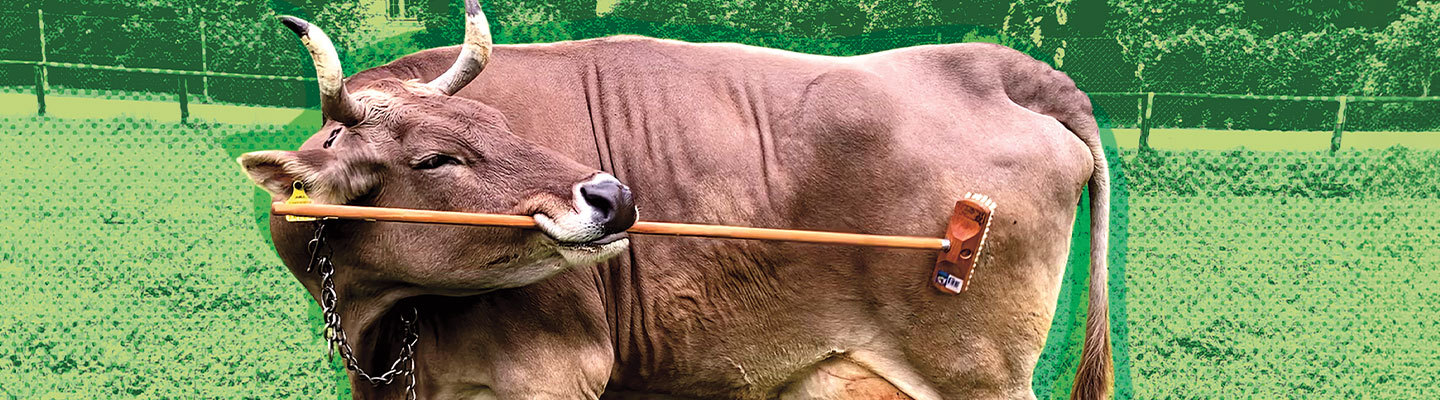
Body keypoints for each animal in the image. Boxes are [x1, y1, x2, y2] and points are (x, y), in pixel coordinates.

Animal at [237, 1, 1112, 399]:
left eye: (501, 121)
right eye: (435, 157)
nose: (611, 191)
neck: (383, 322)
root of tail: (997, 64)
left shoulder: (545, 373)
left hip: (980, 372)